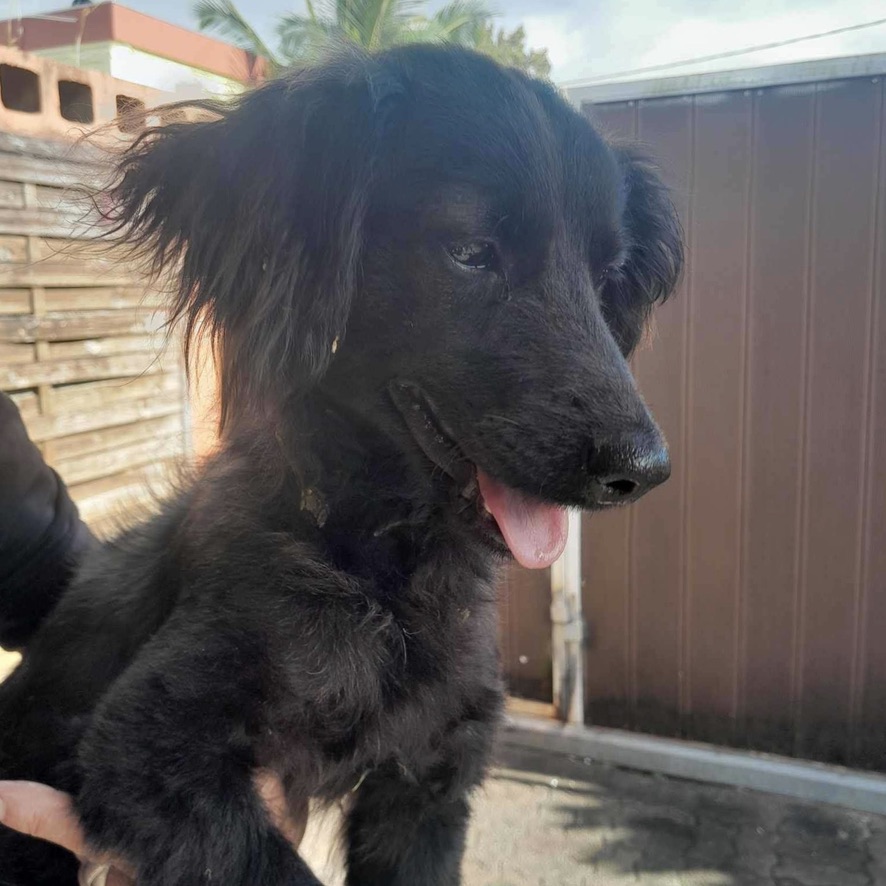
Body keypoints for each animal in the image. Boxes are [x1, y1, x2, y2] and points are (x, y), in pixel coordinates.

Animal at [0, 45, 680, 884]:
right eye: (468, 251)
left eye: (608, 274)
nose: (645, 470)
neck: (387, 580)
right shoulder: (146, 747)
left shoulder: (430, 777)